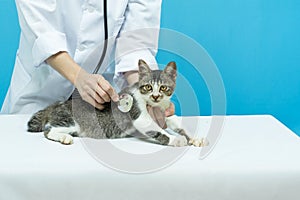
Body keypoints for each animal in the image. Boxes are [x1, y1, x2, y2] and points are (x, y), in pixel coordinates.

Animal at [27, 59, 206, 147]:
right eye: (148, 87)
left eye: (163, 87)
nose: (155, 96)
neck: (153, 105)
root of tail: (56, 104)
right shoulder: (140, 117)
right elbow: (158, 131)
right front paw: (175, 140)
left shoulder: (164, 112)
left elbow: (177, 122)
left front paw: (195, 138)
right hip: (70, 122)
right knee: (48, 130)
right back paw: (64, 137)